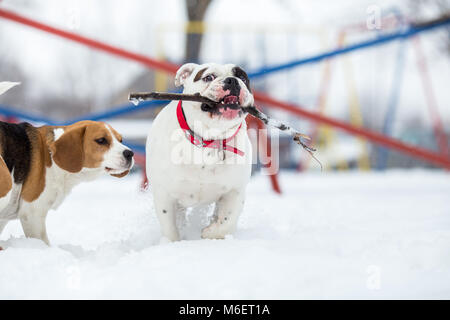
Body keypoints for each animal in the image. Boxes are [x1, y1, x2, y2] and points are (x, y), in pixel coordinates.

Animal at [0, 85, 134, 245]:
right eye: (101, 140)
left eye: (120, 140)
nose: (130, 154)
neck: (52, 158)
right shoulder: (32, 213)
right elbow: (43, 242)